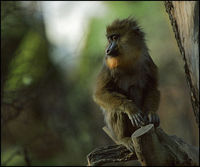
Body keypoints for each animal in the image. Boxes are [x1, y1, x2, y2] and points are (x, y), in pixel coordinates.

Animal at [93, 18, 160, 151]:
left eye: (115, 37)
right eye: (109, 39)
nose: (107, 50)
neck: (128, 60)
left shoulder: (147, 60)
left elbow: (153, 87)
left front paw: (151, 113)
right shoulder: (108, 66)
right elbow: (99, 94)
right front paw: (130, 108)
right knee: (116, 110)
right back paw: (123, 138)